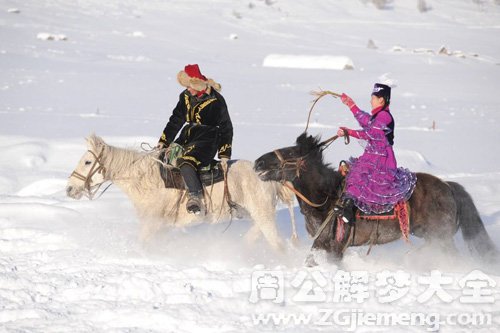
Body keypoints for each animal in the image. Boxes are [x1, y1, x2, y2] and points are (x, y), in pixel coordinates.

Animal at [66, 134, 296, 250]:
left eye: (87, 162)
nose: (69, 188)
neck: (147, 179)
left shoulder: (152, 223)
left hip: (263, 214)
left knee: (276, 243)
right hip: (257, 214)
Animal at [256, 132, 498, 264]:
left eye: (289, 154)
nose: (258, 162)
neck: (327, 197)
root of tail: (448, 187)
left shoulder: (335, 247)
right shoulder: (320, 244)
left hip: (442, 237)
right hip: (430, 235)